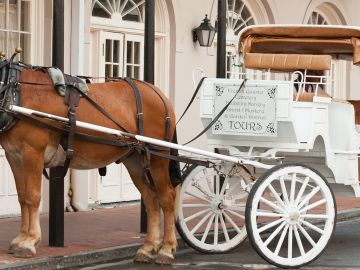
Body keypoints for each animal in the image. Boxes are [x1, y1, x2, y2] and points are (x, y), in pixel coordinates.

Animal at [0, 65, 179, 264]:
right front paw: (20, 240)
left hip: (158, 158)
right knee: (151, 199)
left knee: (167, 198)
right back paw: (147, 247)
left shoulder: (32, 152)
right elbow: (22, 197)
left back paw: (167, 249)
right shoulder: (14, 156)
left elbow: (32, 197)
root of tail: (159, 94)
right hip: (135, 160)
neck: (16, 89)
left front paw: (29, 242)